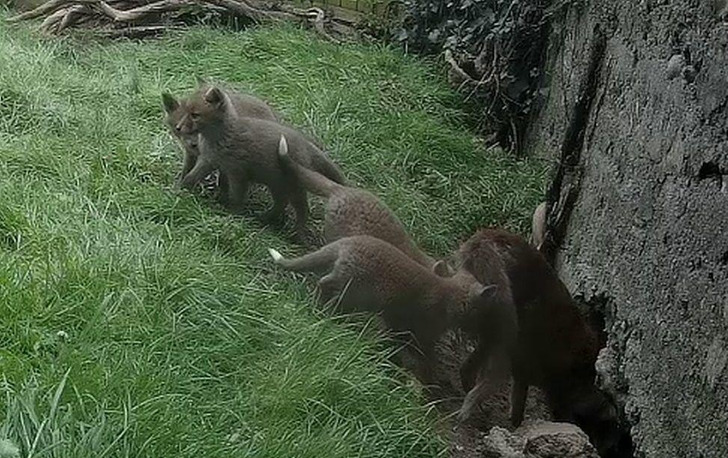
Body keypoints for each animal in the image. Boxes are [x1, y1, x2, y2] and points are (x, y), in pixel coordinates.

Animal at [174, 85, 346, 233]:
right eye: (184, 111)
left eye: (195, 115)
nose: (178, 128)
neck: (218, 139)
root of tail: (307, 144)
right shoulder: (208, 161)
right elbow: (190, 177)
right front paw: (179, 190)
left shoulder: (237, 172)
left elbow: (236, 196)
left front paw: (233, 215)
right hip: (276, 182)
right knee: (282, 203)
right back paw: (265, 218)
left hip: (292, 183)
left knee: (302, 209)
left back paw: (296, 233)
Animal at [268, 235, 496, 372]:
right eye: (482, 311)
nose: (481, 331)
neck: (448, 297)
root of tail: (347, 241)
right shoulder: (425, 329)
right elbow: (424, 352)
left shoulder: (397, 320)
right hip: (352, 287)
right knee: (324, 283)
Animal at [454, 228, 627, 457]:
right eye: (611, 444)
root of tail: (491, 234)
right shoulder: (547, 385)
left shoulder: (524, 371)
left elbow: (518, 401)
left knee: (469, 366)